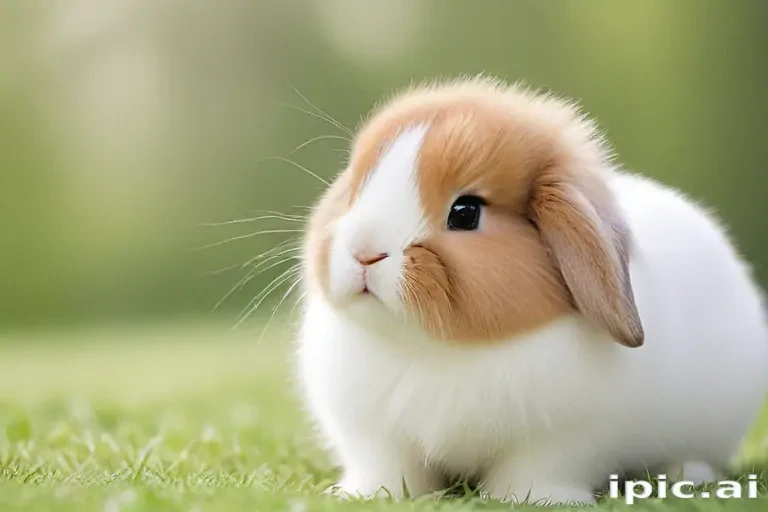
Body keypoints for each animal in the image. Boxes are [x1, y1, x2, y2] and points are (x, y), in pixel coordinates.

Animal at [294, 76, 768, 505]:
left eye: (465, 213)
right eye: (357, 188)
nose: (364, 252)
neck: (433, 348)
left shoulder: (564, 438)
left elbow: (541, 469)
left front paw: (534, 498)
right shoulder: (373, 436)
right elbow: (389, 469)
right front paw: (368, 495)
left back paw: (686, 474)